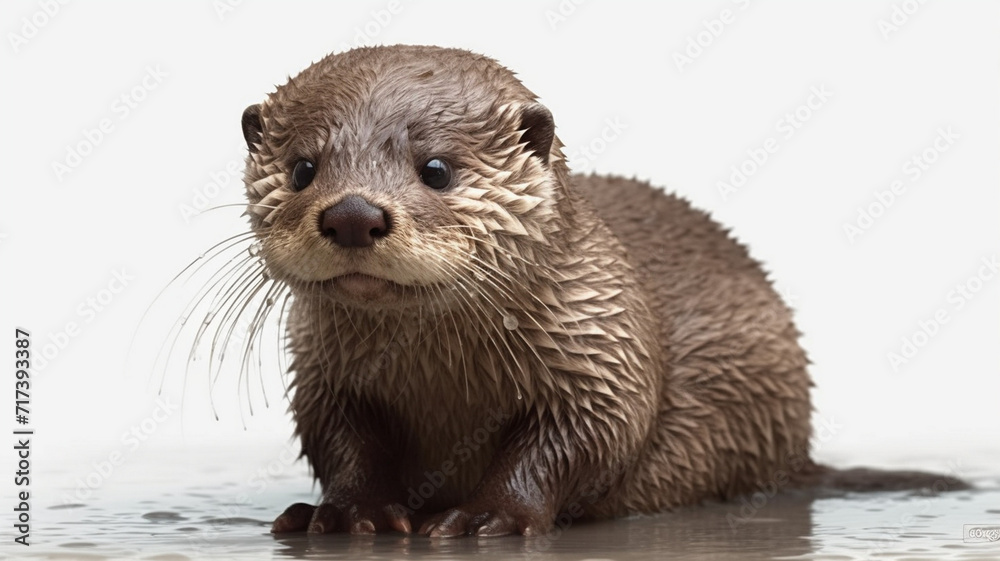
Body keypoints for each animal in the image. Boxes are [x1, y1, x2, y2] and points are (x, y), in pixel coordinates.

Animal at [230, 45, 963, 537]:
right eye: (303, 168)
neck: (445, 383)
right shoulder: (325, 374)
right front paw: (343, 513)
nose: (353, 214)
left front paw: (486, 515)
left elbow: (585, 437)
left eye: (435, 168)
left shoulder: (602, 348)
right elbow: (341, 440)